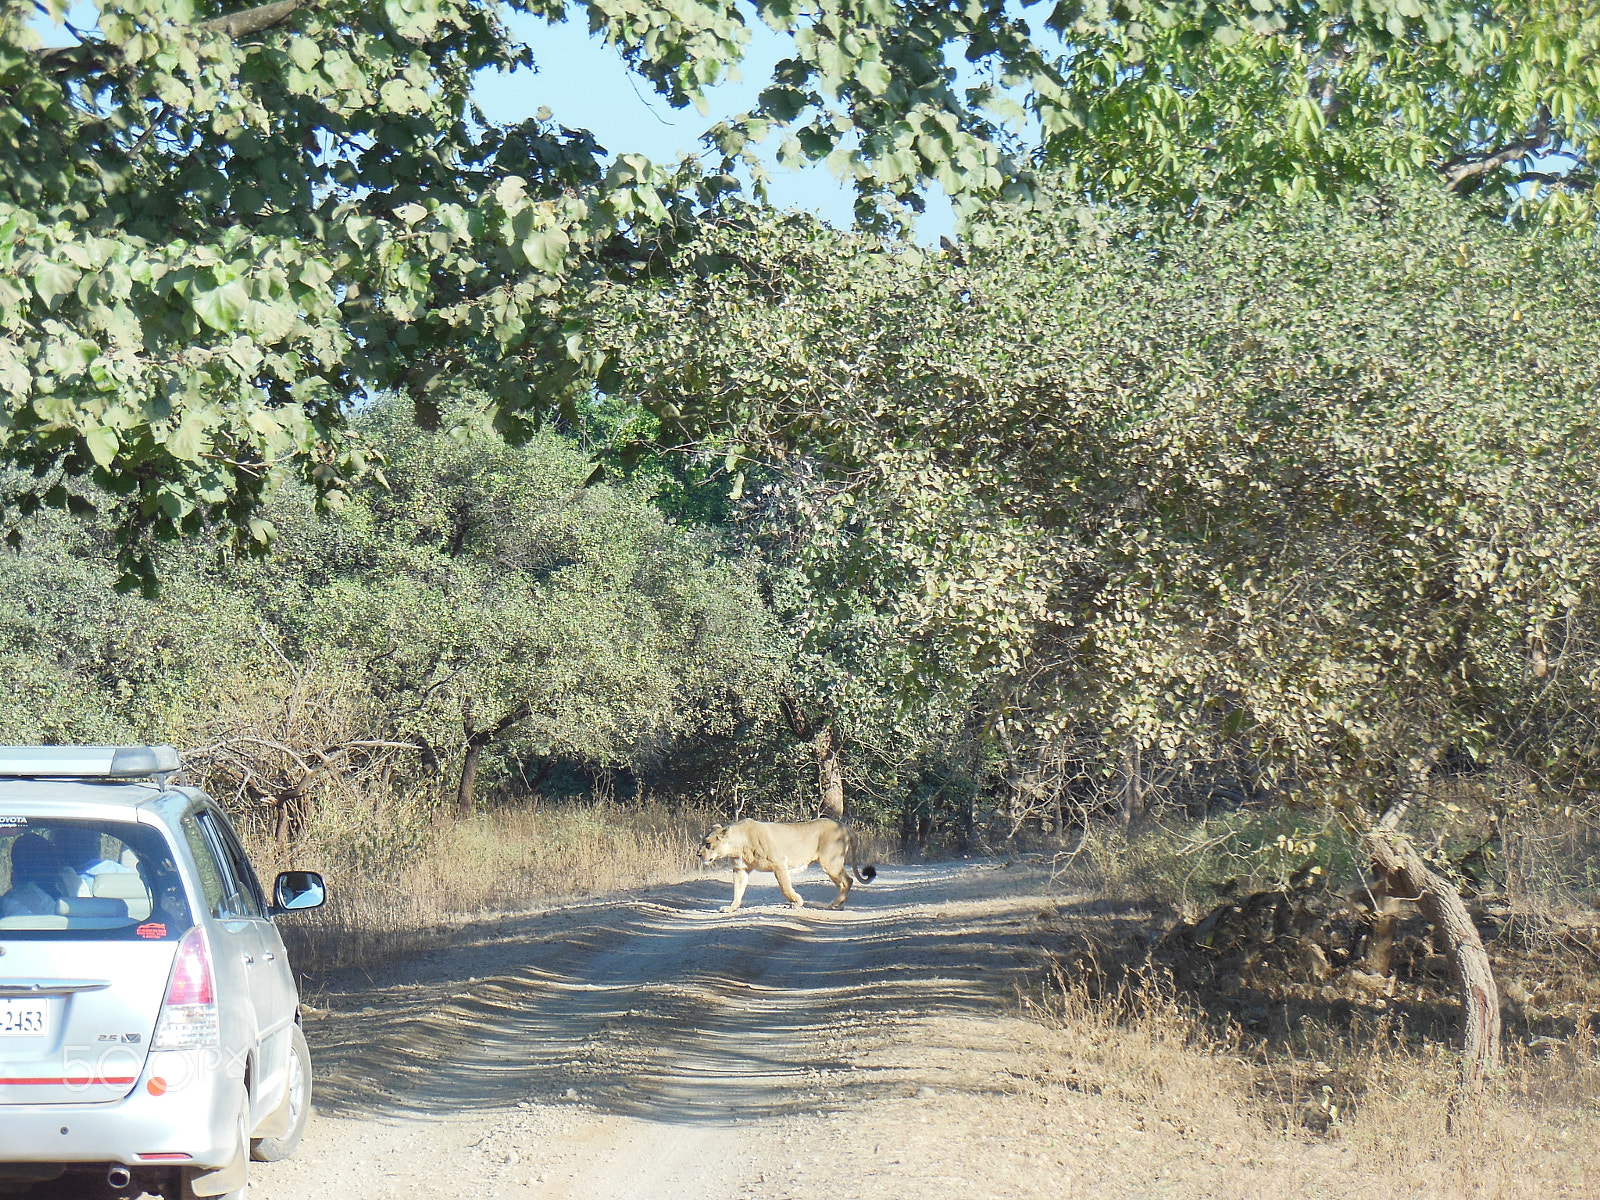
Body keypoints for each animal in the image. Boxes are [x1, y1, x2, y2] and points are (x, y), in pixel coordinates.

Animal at [697, 825, 876, 915]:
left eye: (708, 844)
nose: (698, 854)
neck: (738, 845)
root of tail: (845, 827)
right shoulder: (740, 870)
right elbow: (737, 891)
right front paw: (731, 908)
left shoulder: (779, 863)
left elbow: (785, 887)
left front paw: (796, 902)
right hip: (831, 865)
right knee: (844, 882)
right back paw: (838, 904)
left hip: (830, 863)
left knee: (848, 880)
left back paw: (835, 904)